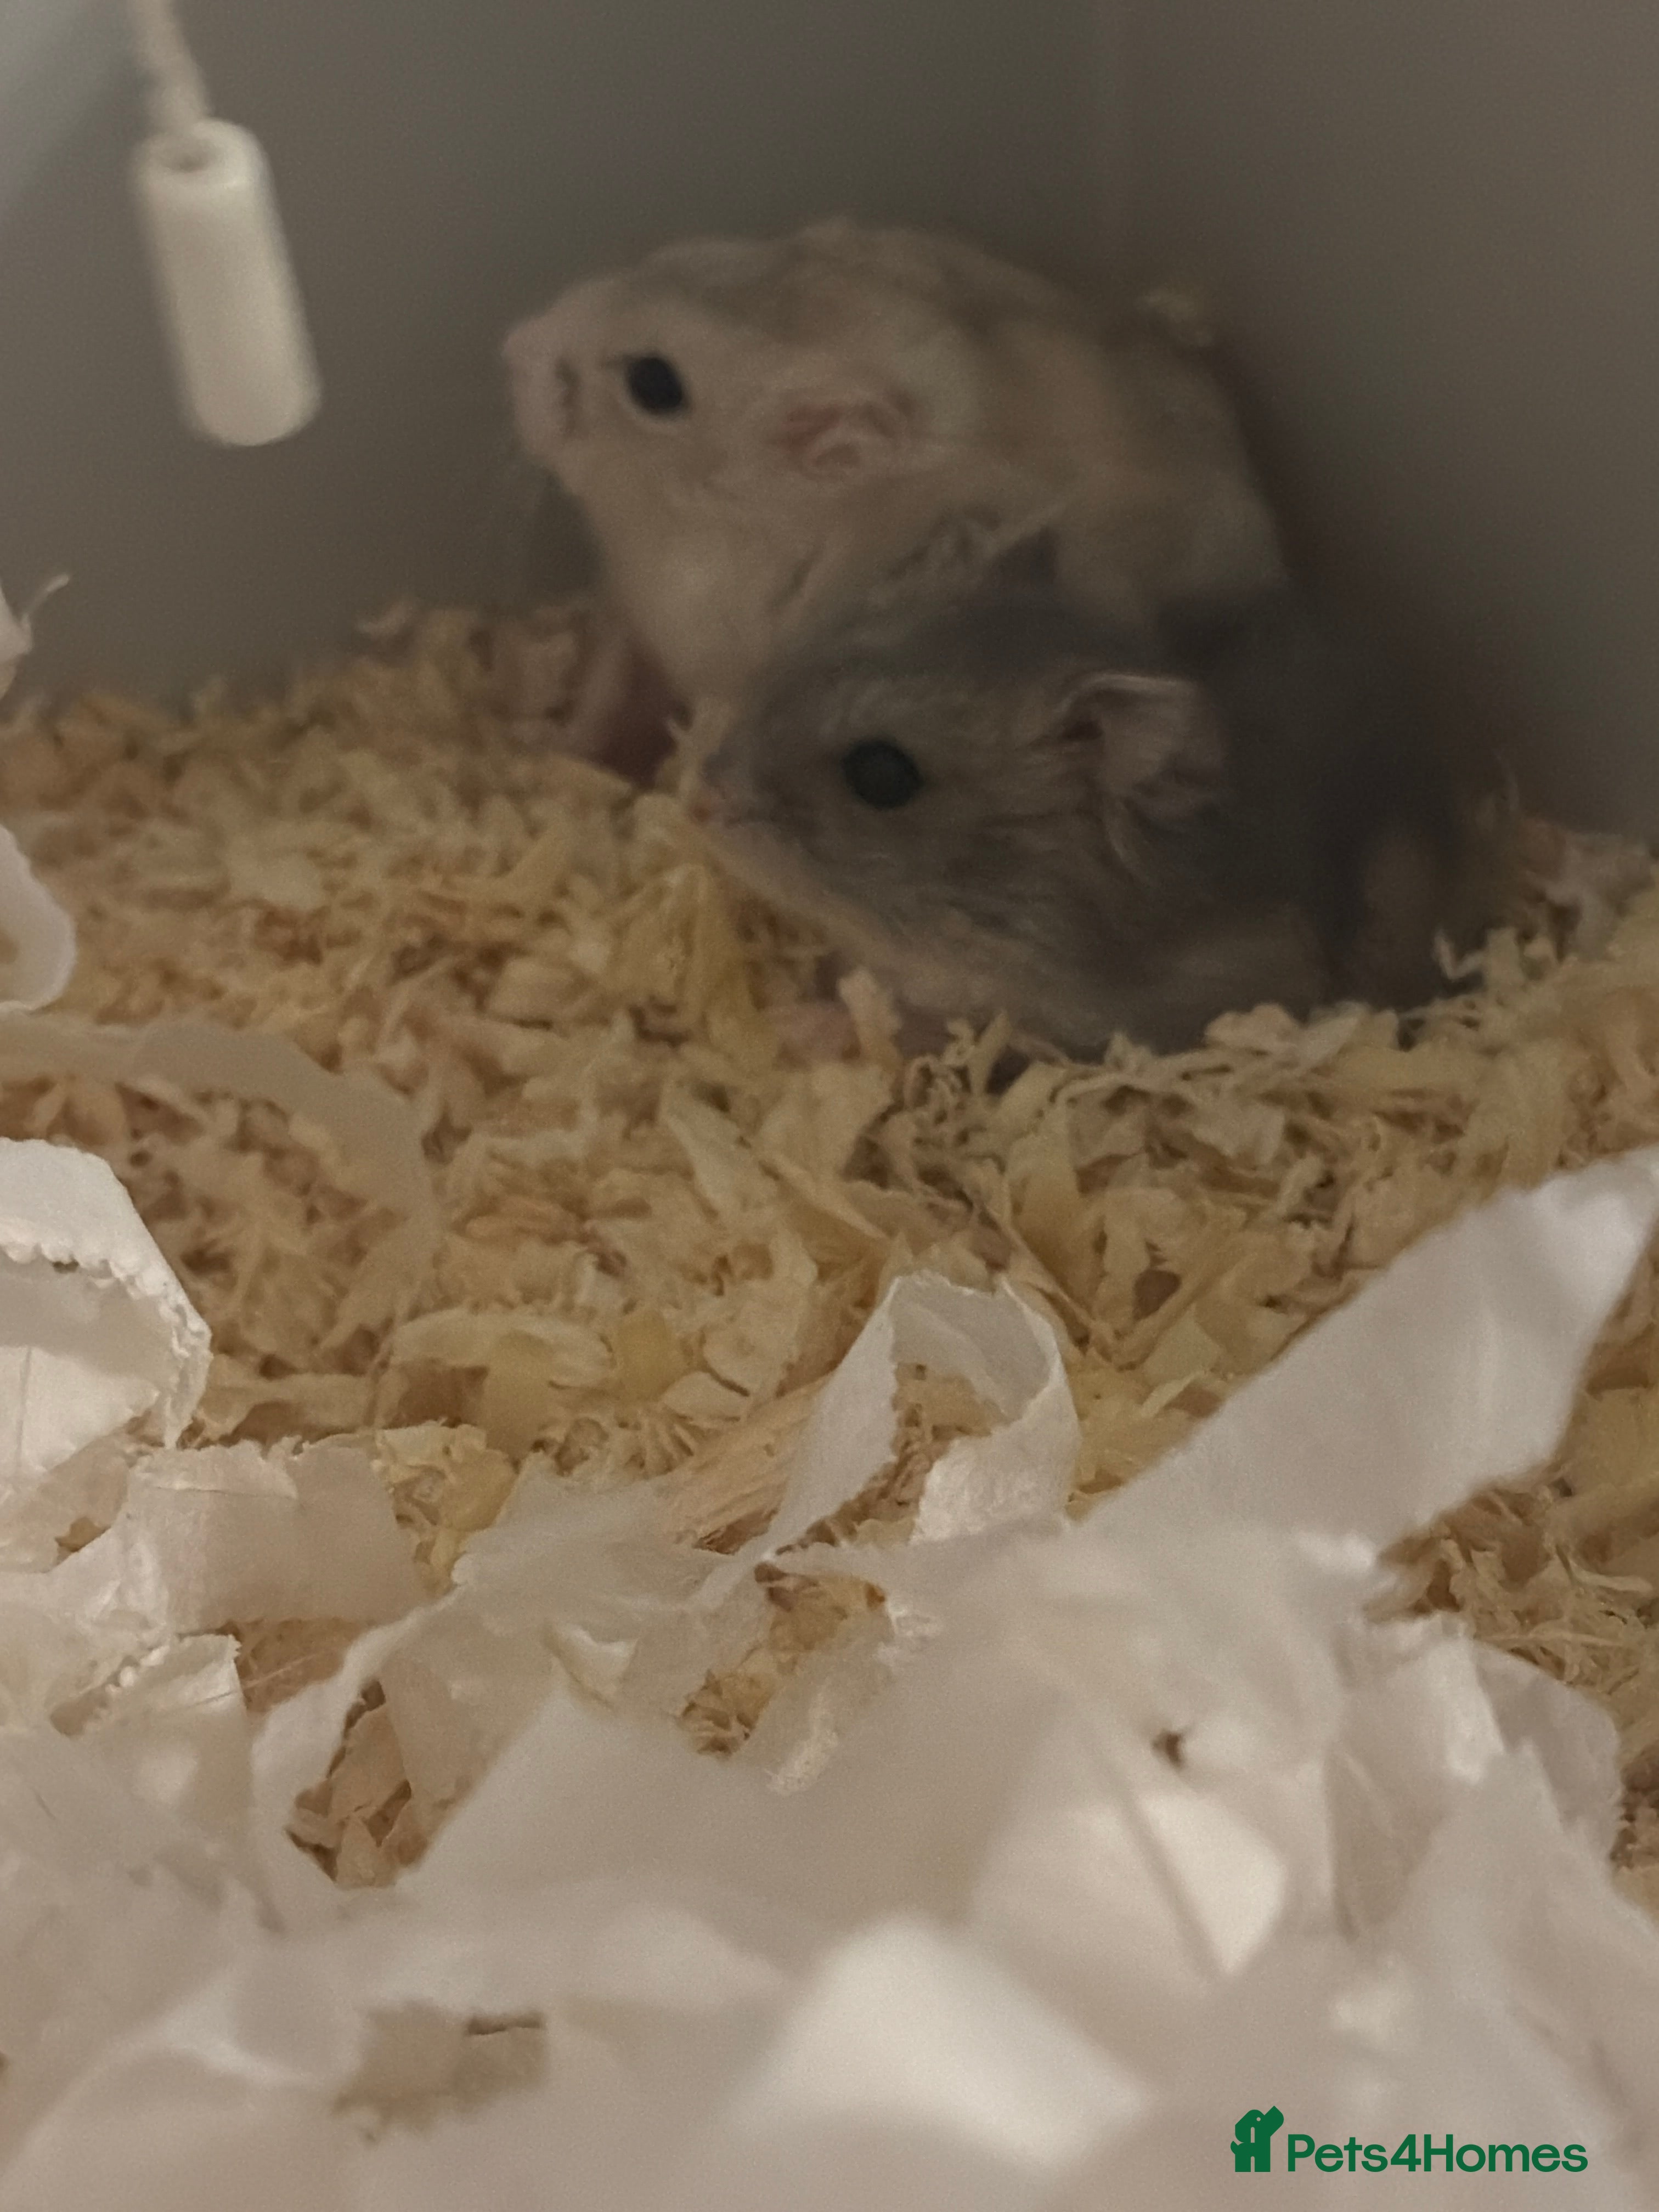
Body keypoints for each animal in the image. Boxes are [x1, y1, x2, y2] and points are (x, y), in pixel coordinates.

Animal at [504, 218, 1285, 756]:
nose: (511, 346)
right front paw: (557, 753)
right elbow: (605, 685)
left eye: (654, 384)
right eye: (674, 253)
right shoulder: (632, 606)